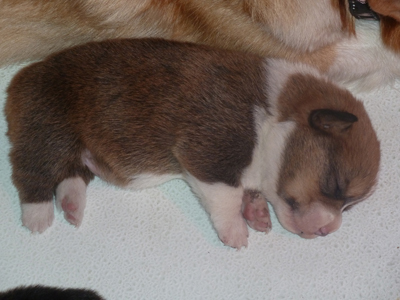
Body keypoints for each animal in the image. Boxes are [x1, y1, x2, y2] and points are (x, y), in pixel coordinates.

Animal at [5, 38, 382, 248]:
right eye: (335, 185)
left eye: (349, 206)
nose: (328, 230)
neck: (272, 113)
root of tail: (20, 76)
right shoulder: (210, 152)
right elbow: (226, 196)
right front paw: (236, 232)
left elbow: (248, 192)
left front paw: (258, 213)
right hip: (49, 126)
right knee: (32, 171)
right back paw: (38, 216)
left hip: (79, 149)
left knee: (72, 174)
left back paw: (71, 205)